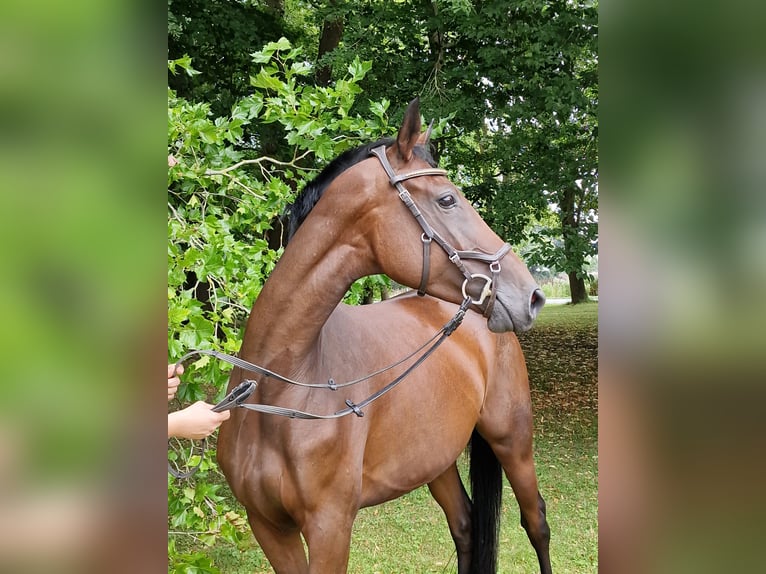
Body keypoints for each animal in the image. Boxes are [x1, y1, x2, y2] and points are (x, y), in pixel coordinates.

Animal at [216, 100, 552, 574]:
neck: (279, 391)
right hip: (436, 458)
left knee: (535, 522)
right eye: (447, 199)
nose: (532, 296)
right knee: (466, 525)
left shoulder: (330, 529)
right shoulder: (268, 526)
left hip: (512, 439)